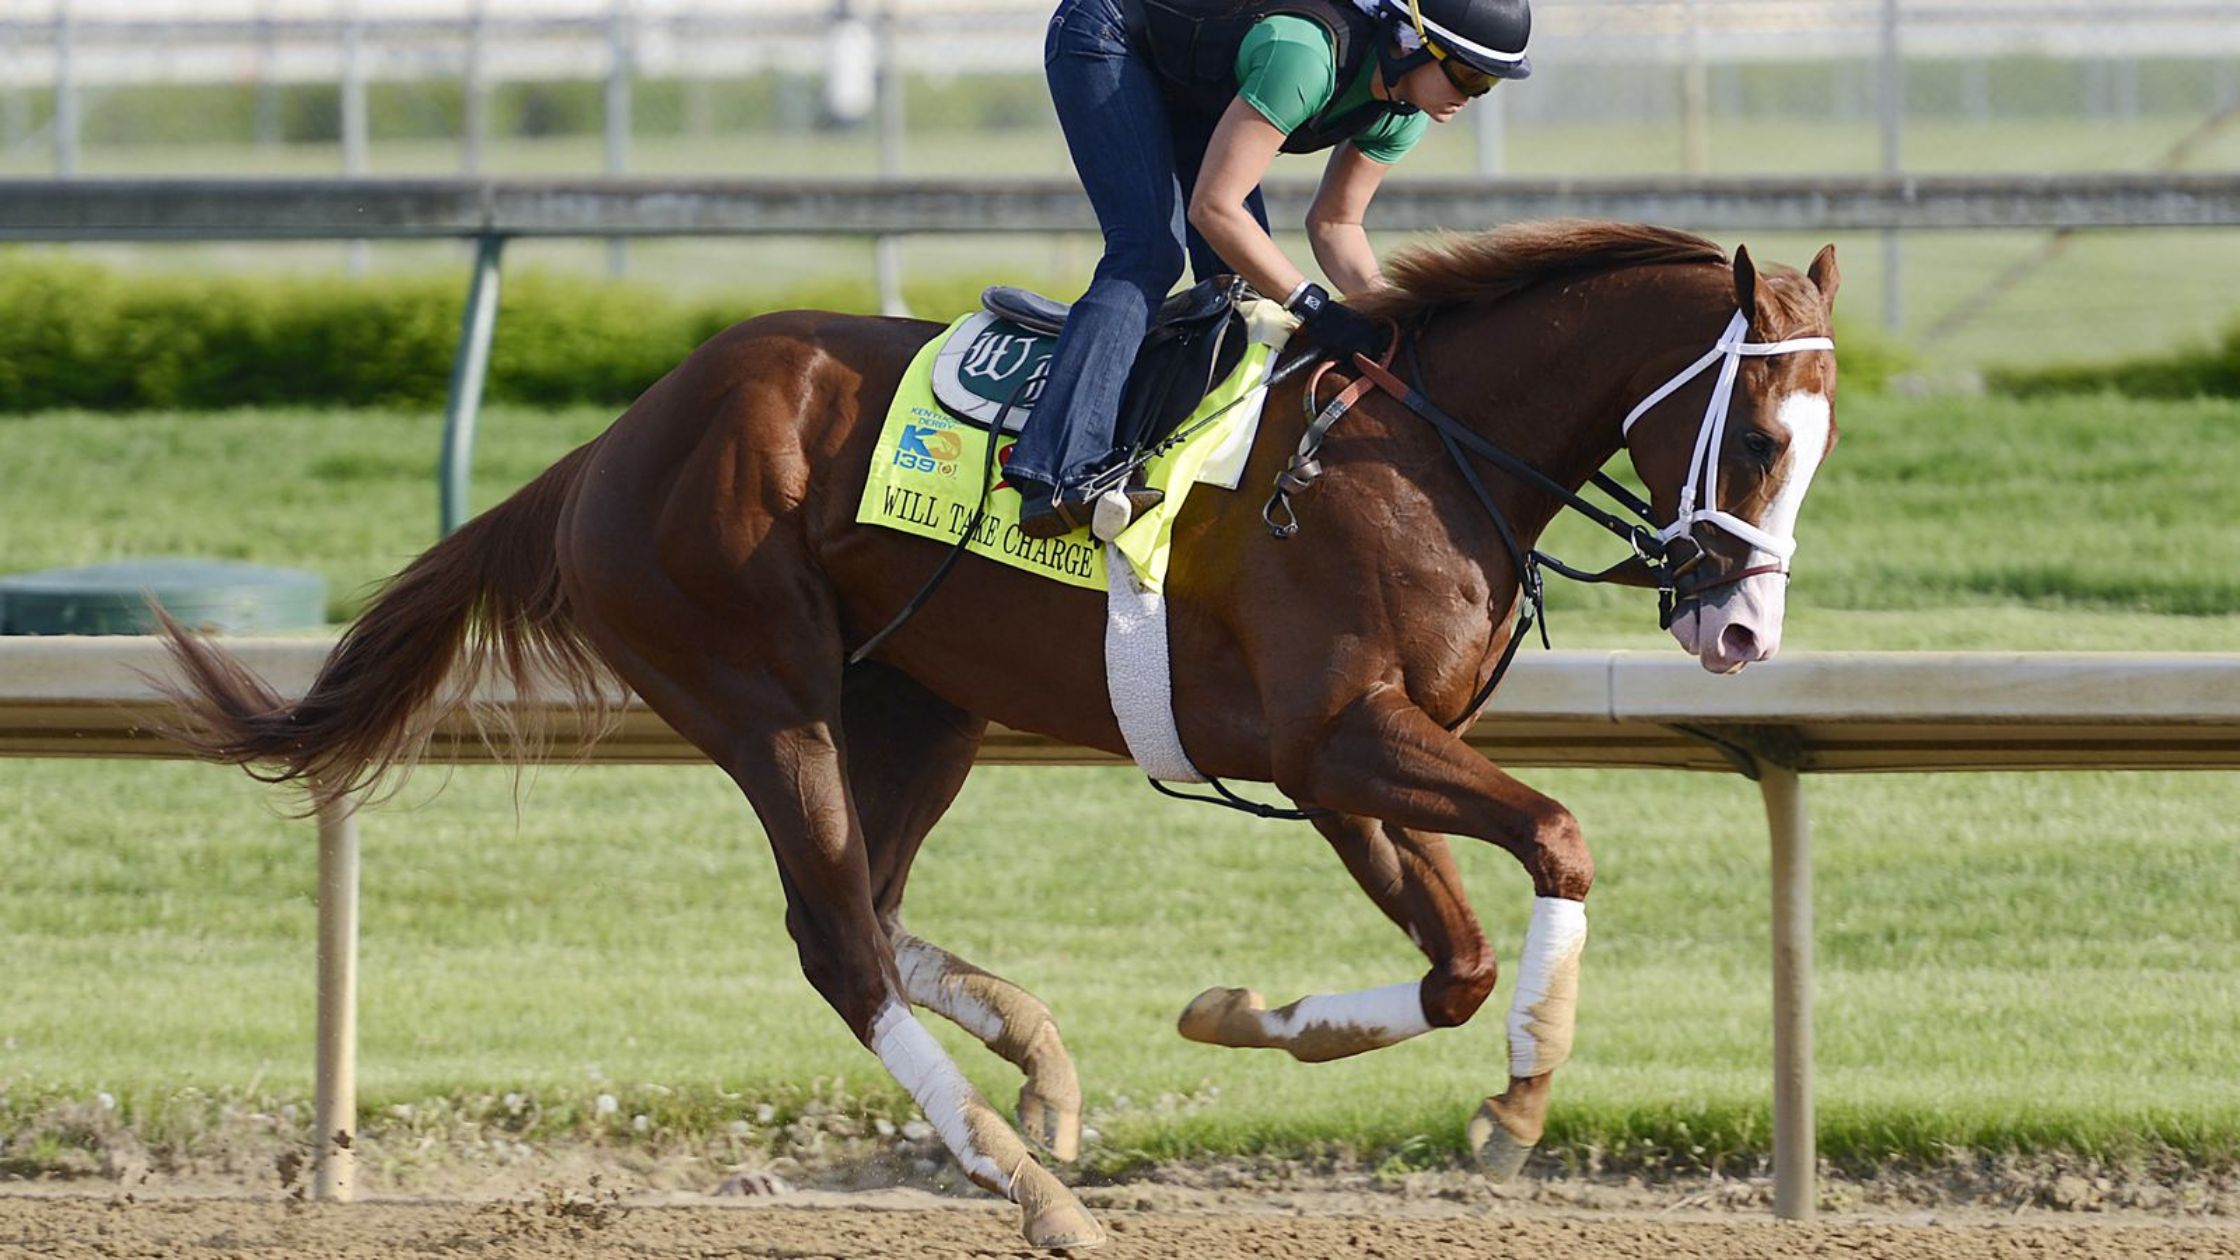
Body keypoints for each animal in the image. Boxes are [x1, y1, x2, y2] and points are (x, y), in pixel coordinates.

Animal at [156, 219, 1840, 1251]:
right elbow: (1558, 836)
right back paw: (1026, 1183)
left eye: (1820, 449)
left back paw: (1043, 1077)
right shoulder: (1343, 739)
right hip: (763, 694)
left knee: (869, 908)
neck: (1418, 451)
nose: (1742, 638)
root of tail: (607, 449)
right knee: (839, 937)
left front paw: (1241, 1016)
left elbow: (1455, 963)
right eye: (1762, 436)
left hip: (922, 707)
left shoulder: (1338, 760)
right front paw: (1519, 1103)